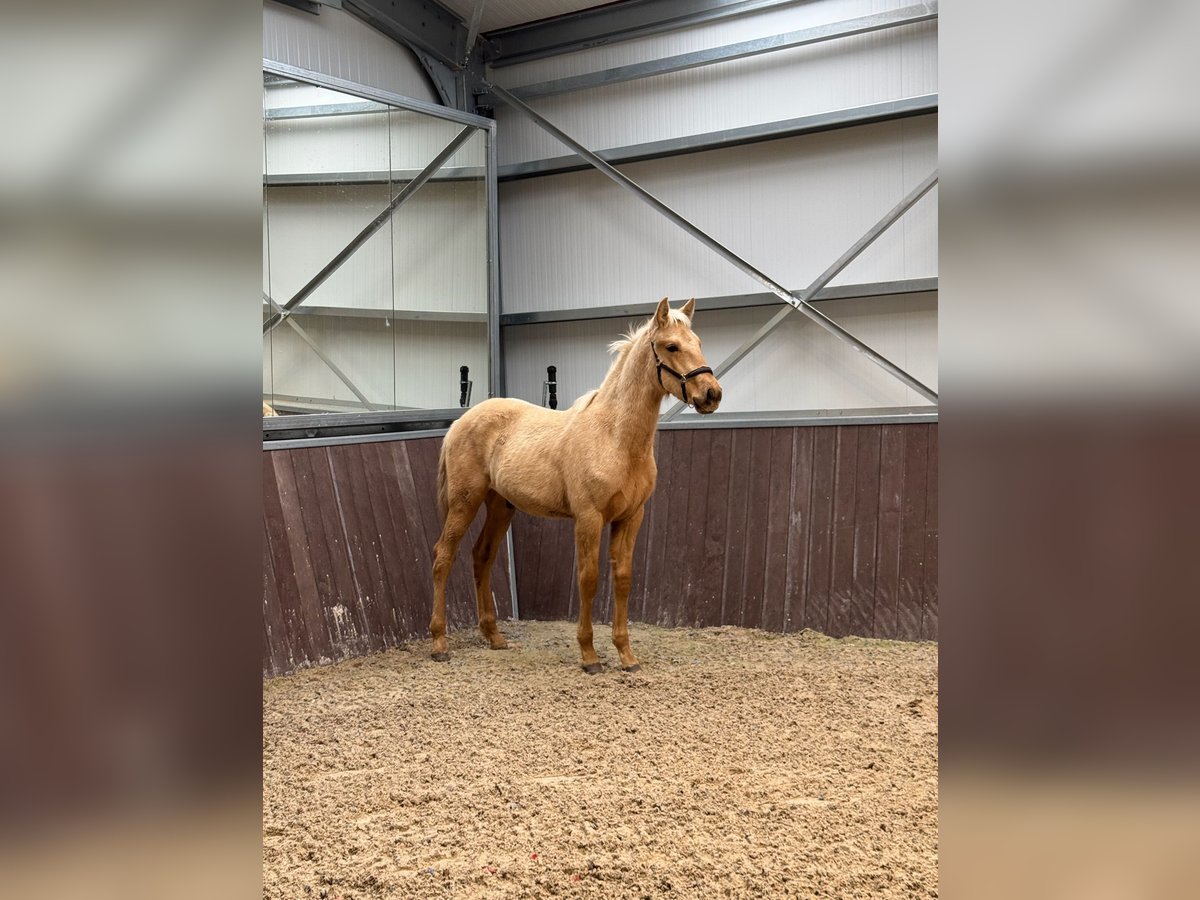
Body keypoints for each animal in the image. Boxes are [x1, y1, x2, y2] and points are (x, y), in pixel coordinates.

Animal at [429, 297, 723, 673]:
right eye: (671, 346)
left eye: (697, 343)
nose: (712, 394)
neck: (614, 438)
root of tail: (460, 421)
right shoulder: (589, 518)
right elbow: (588, 578)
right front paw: (589, 655)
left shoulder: (631, 518)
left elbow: (623, 578)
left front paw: (626, 655)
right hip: (464, 502)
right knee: (443, 556)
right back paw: (439, 643)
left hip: (500, 506)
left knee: (482, 556)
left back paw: (495, 638)